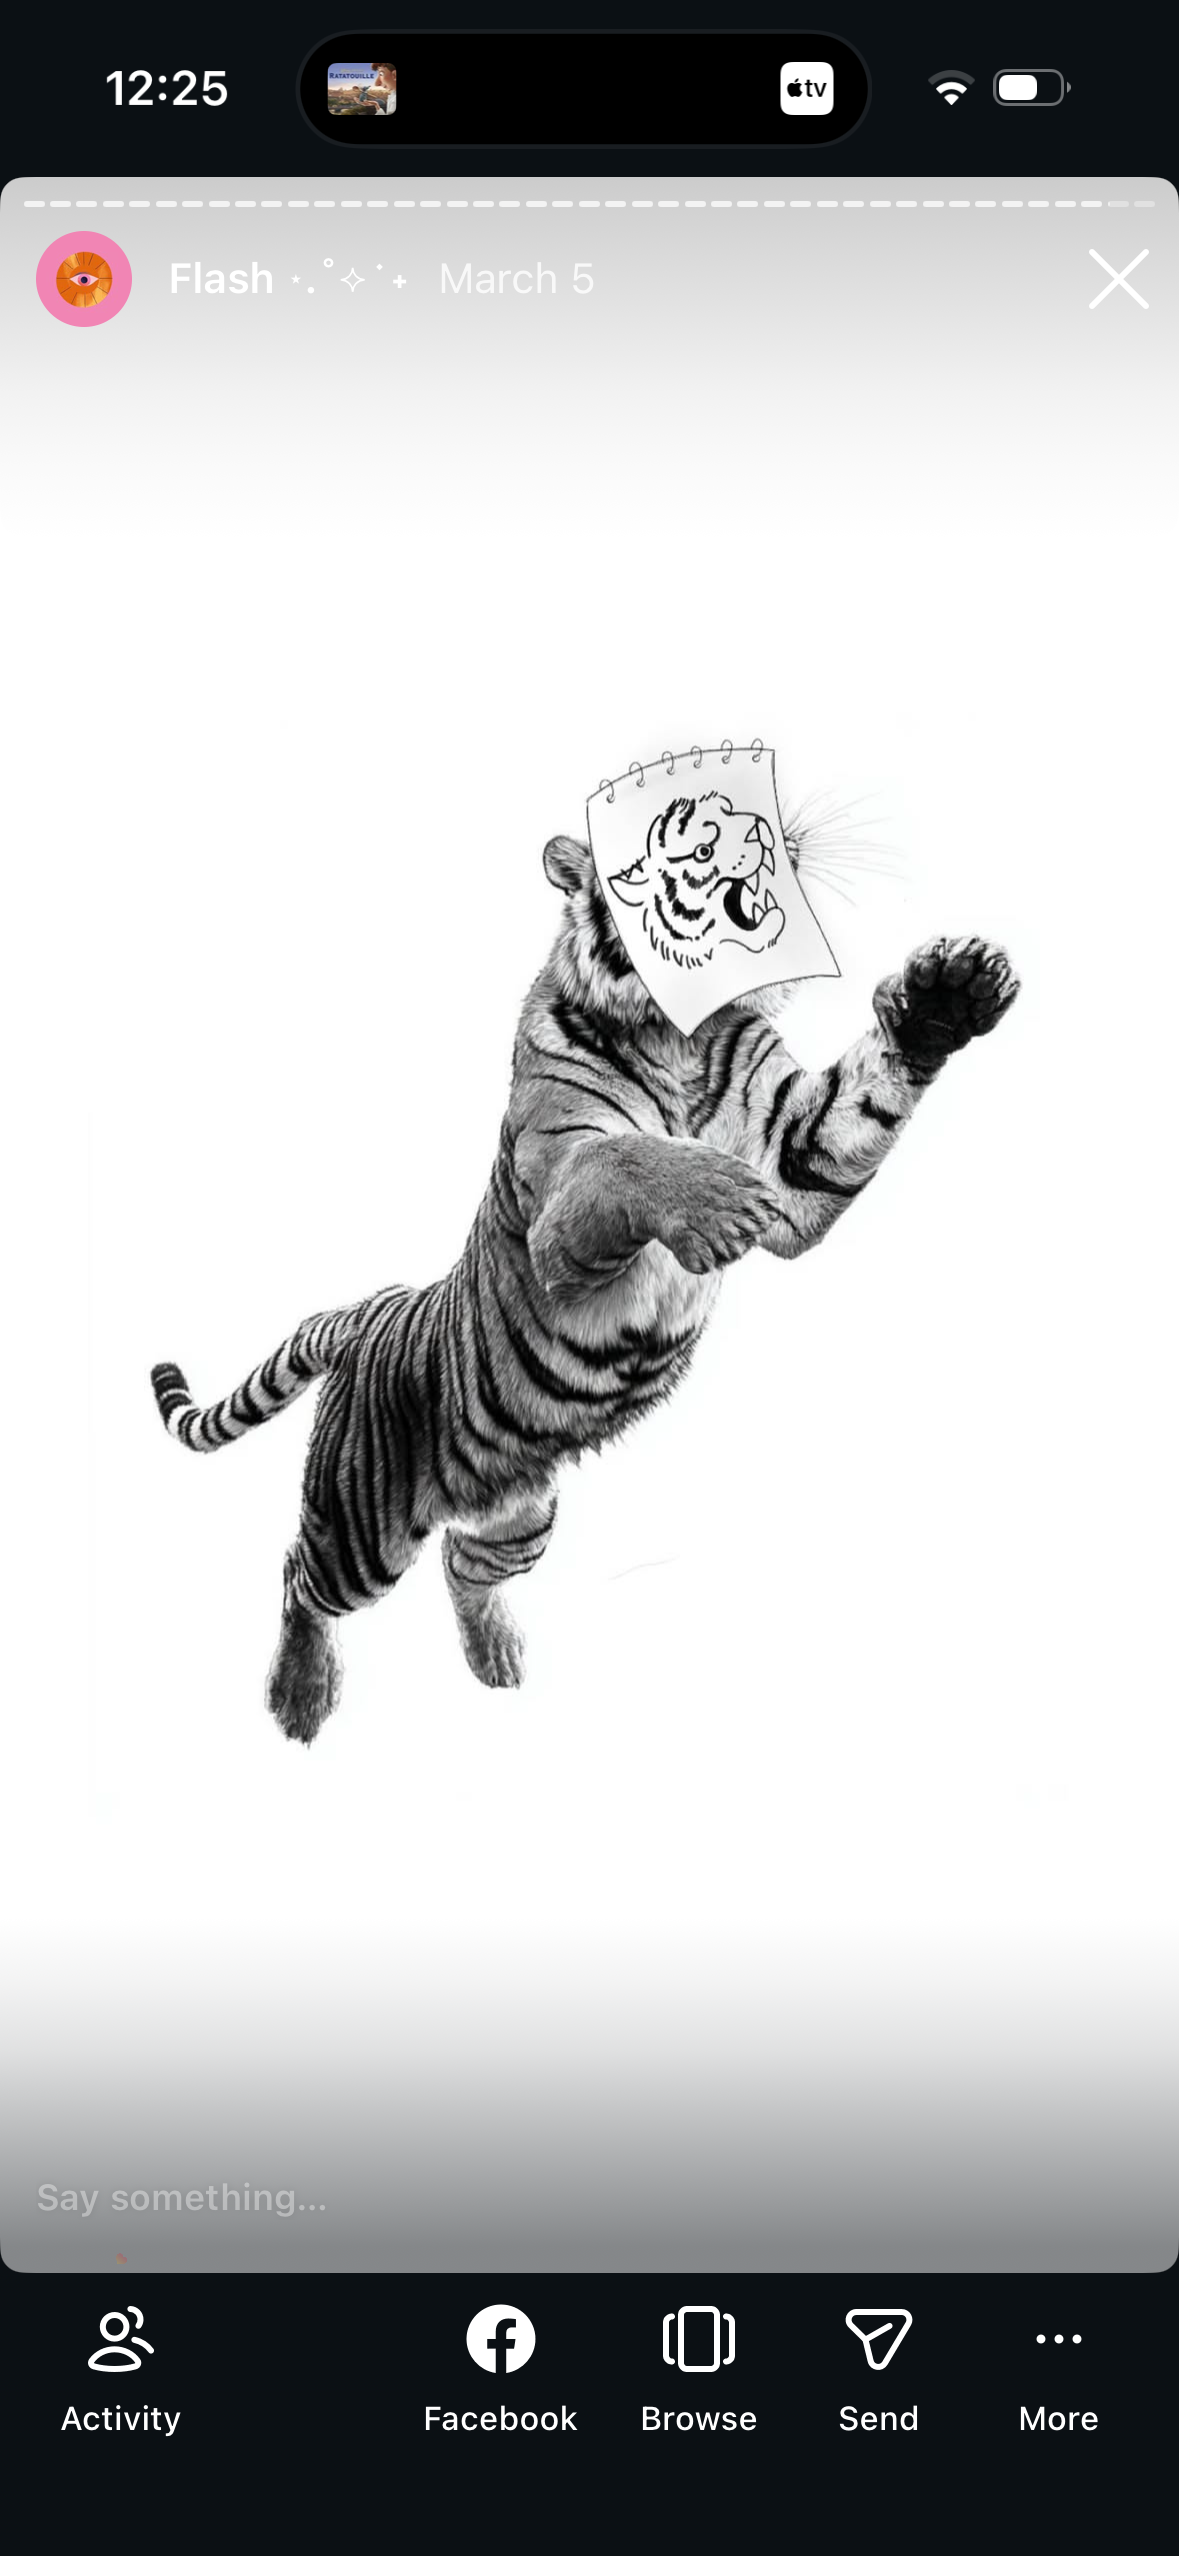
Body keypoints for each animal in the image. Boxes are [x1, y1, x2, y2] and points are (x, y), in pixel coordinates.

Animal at [151, 830, 1018, 1745]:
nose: (768, 844)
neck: (679, 1033)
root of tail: (377, 1308)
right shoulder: (565, 1190)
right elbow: (624, 1155)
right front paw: (716, 1203)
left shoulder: (794, 1147)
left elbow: (858, 1102)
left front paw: (947, 995)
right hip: (363, 1524)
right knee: (301, 1576)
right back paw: (298, 1696)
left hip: (520, 1515)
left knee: (462, 1562)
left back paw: (496, 1657)